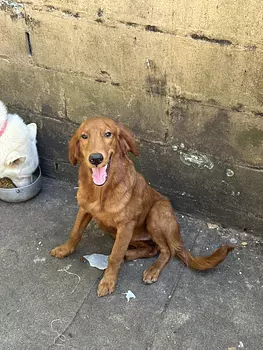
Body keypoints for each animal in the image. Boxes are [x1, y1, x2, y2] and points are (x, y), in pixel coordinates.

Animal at [50, 117, 234, 296]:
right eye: (84, 136)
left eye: (108, 134)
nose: (95, 159)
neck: (101, 191)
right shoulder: (84, 209)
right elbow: (75, 232)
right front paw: (65, 249)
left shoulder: (125, 225)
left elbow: (115, 256)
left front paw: (108, 281)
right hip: (125, 234)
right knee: (151, 249)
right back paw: (129, 254)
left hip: (155, 214)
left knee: (166, 251)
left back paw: (152, 269)